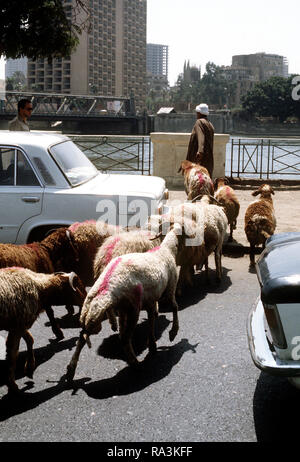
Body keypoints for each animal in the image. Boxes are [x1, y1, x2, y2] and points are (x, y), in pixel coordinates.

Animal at [66, 222, 184, 380]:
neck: (165, 250)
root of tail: (105, 286)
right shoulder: (169, 288)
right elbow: (175, 307)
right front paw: (173, 332)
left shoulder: (150, 300)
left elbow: (152, 321)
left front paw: (152, 344)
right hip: (132, 308)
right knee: (125, 338)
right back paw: (136, 364)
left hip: (94, 311)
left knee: (82, 336)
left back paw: (71, 370)